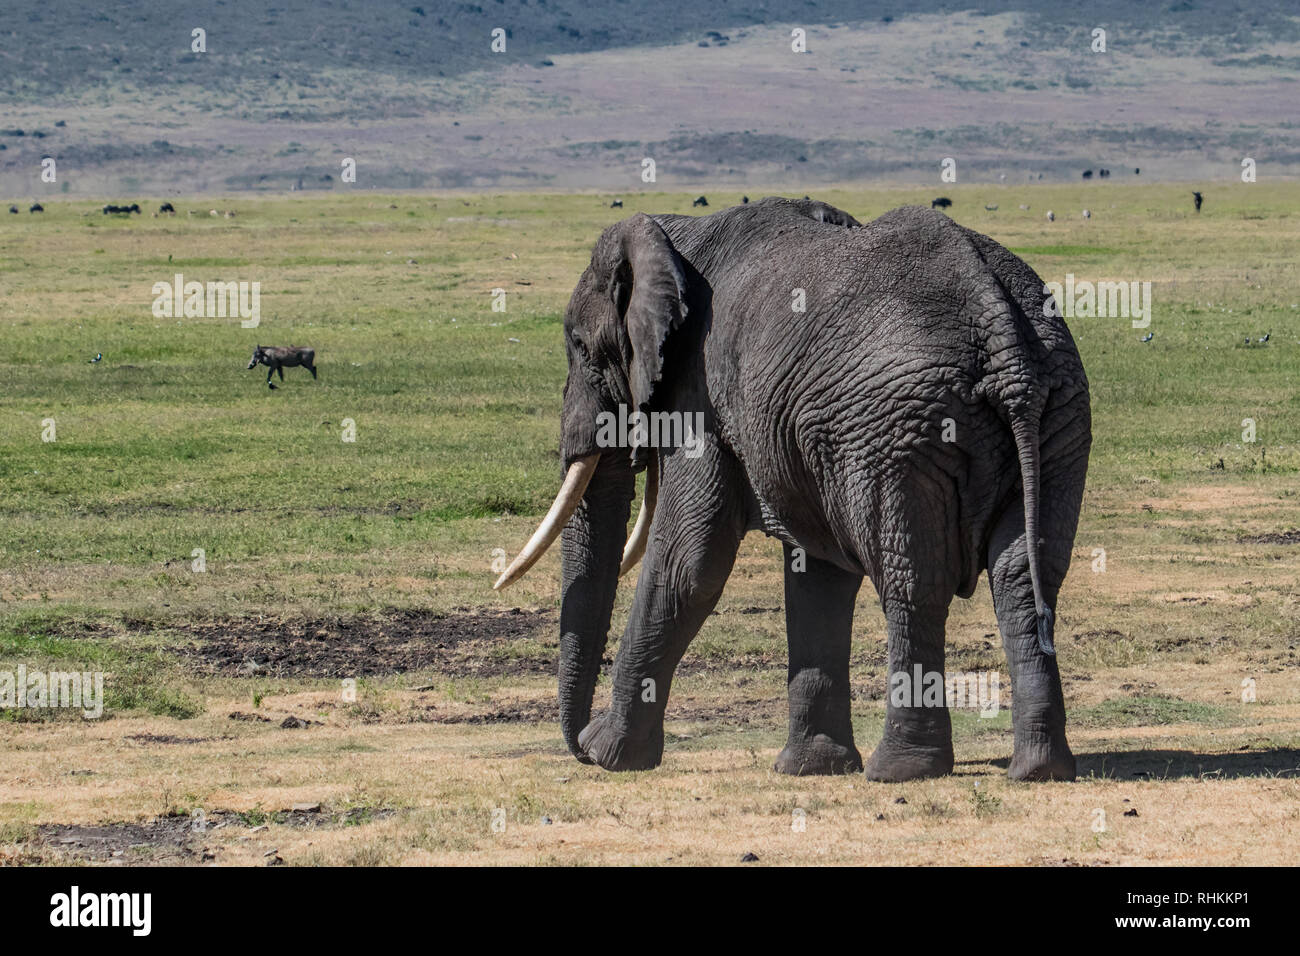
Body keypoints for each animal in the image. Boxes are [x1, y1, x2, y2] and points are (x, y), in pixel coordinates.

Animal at [491, 196, 1092, 785]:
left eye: (578, 345)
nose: (575, 748)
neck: (674, 232)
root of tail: (998, 322)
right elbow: (818, 576)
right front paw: (811, 768)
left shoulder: (700, 397)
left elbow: (689, 562)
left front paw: (609, 754)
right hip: (1055, 412)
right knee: (1022, 573)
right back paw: (1037, 770)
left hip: (900, 428)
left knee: (912, 580)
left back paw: (897, 771)